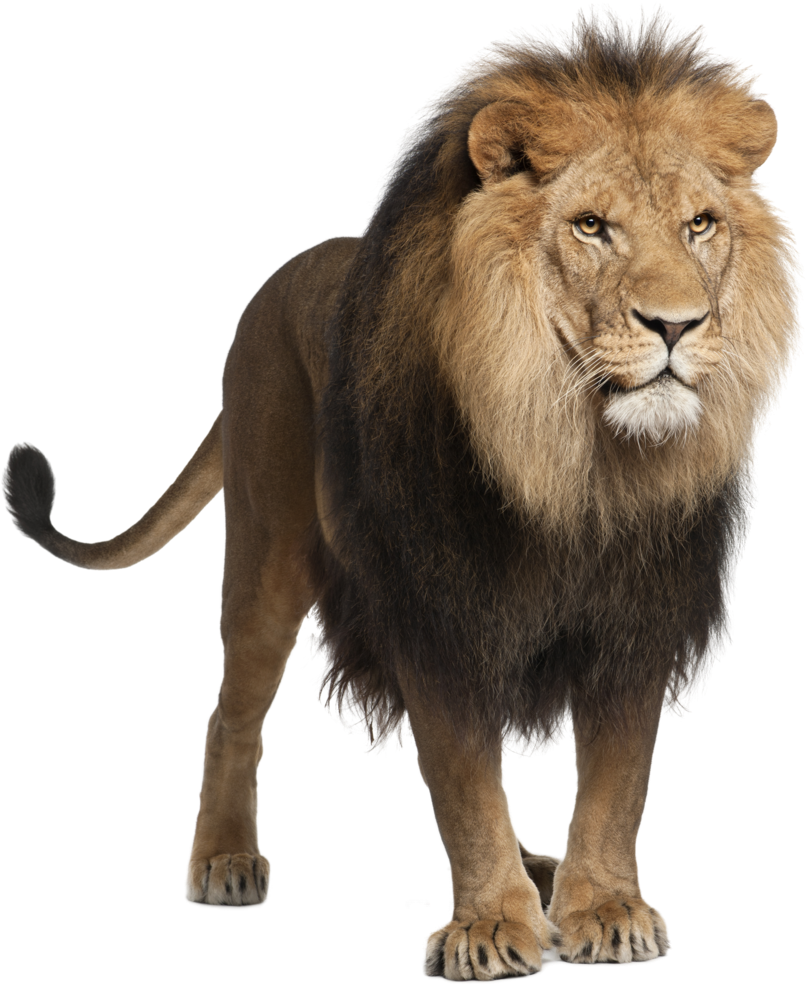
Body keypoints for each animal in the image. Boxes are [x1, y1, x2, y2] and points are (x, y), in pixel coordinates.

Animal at [3, 6, 801, 979]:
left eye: (700, 224)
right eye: (590, 226)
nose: (678, 325)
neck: (578, 464)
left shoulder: (633, 616)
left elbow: (618, 778)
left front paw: (603, 906)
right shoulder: (440, 607)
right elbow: (463, 778)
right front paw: (493, 925)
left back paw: (544, 865)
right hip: (267, 553)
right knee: (231, 710)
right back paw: (225, 858)